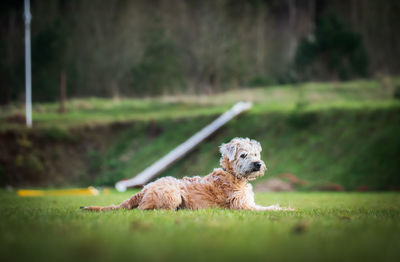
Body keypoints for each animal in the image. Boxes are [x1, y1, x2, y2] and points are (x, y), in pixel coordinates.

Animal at [82, 138, 294, 212]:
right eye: (243, 155)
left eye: (256, 154)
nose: (258, 164)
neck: (232, 174)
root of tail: (144, 189)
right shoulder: (243, 206)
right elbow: (268, 209)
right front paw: (287, 210)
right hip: (172, 192)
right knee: (146, 210)